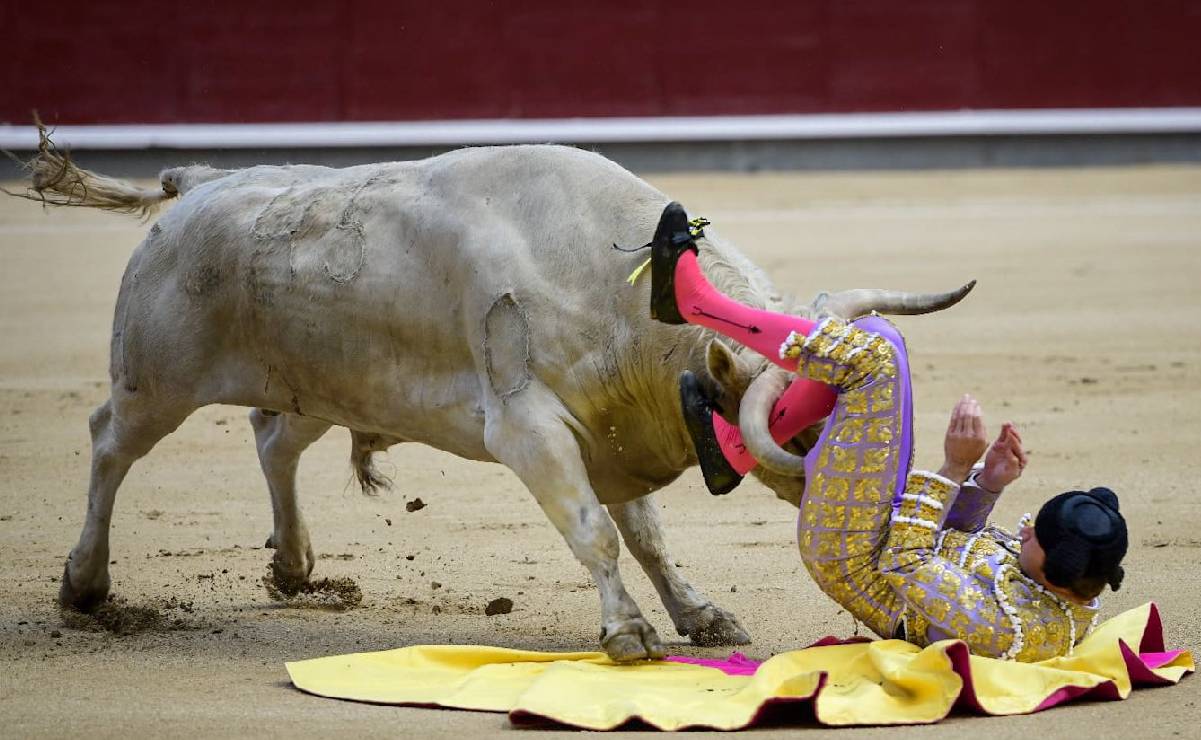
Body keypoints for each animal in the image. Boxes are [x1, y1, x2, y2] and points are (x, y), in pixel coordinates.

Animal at [9, 130, 970, 663]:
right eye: (799, 425)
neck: (623, 285)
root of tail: (198, 184)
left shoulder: (613, 433)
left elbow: (649, 537)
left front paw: (700, 613)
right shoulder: (530, 430)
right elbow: (595, 535)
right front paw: (627, 634)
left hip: (319, 382)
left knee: (273, 440)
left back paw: (293, 567)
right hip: (154, 378)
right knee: (110, 444)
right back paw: (85, 586)